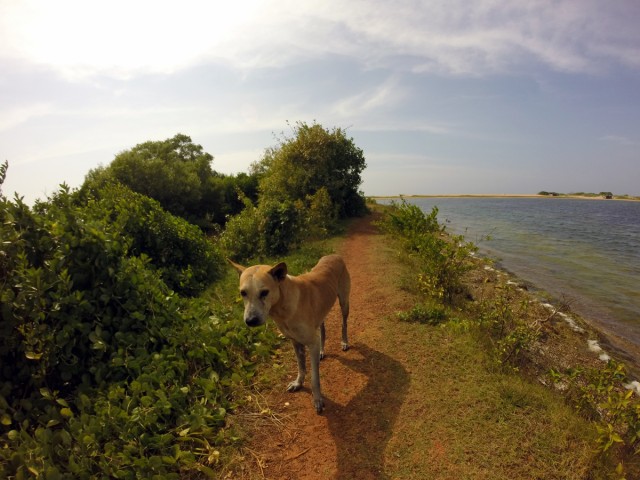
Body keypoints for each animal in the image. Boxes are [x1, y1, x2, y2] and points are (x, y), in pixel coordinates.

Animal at [229, 253, 350, 414]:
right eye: (243, 293)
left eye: (264, 292)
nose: (250, 321)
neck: (282, 306)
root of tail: (334, 255)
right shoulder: (295, 342)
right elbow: (301, 366)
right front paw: (298, 383)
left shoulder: (312, 343)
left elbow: (314, 378)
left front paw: (317, 399)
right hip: (320, 315)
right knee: (322, 331)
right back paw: (322, 351)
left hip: (344, 302)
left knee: (344, 323)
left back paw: (344, 342)